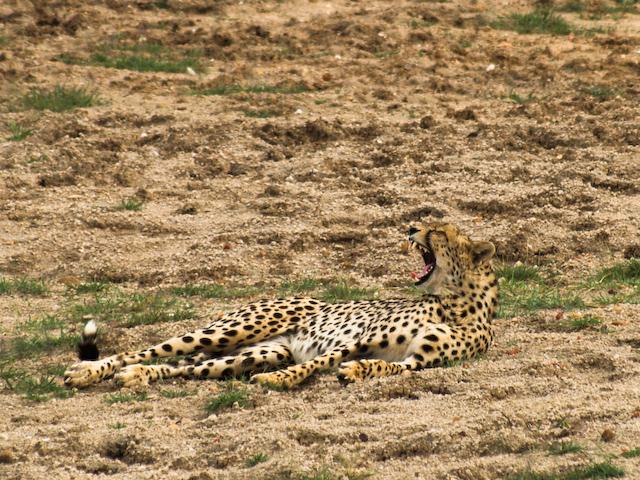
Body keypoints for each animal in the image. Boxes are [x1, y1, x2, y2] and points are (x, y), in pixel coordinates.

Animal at [62, 222, 498, 390]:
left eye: (438, 231)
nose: (410, 227)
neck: (456, 304)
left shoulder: (418, 361)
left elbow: (389, 366)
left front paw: (358, 371)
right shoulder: (354, 341)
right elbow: (317, 362)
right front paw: (283, 381)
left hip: (255, 353)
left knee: (184, 368)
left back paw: (138, 376)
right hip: (236, 329)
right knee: (143, 350)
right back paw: (87, 371)